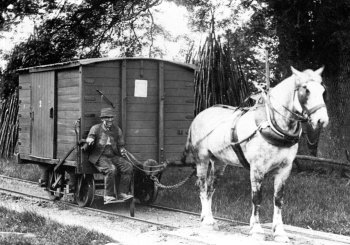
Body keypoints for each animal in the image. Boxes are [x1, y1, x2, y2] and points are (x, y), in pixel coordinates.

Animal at [183, 66, 328, 242]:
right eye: (305, 90)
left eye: (323, 91)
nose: (322, 120)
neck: (273, 125)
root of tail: (201, 114)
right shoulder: (257, 168)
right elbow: (257, 197)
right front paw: (257, 229)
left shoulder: (285, 169)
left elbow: (278, 199)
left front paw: (279, 232)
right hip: (202, 160)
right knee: (203, 187)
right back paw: (207, 221)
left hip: (219, 162)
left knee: (211, 188)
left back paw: (208, 217)